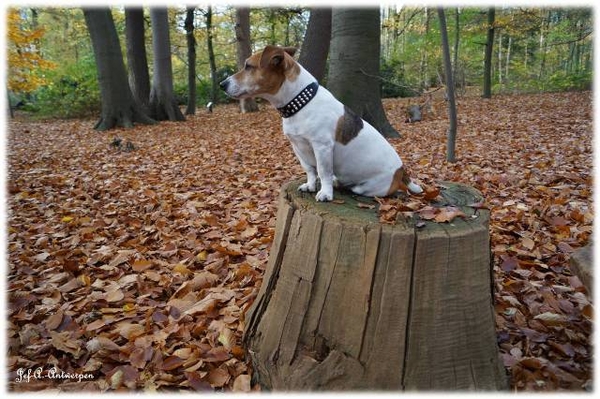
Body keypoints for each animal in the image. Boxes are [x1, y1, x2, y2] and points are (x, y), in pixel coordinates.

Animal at [220, 46, 422, 203]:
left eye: (248, 66)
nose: (222, 84)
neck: (300, 102)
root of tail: (401, 170)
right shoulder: (298, 147)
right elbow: (310, 170)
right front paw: (310, 185)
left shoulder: (322, 147)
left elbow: (323, 172)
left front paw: (325, 193)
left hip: (371, 187)